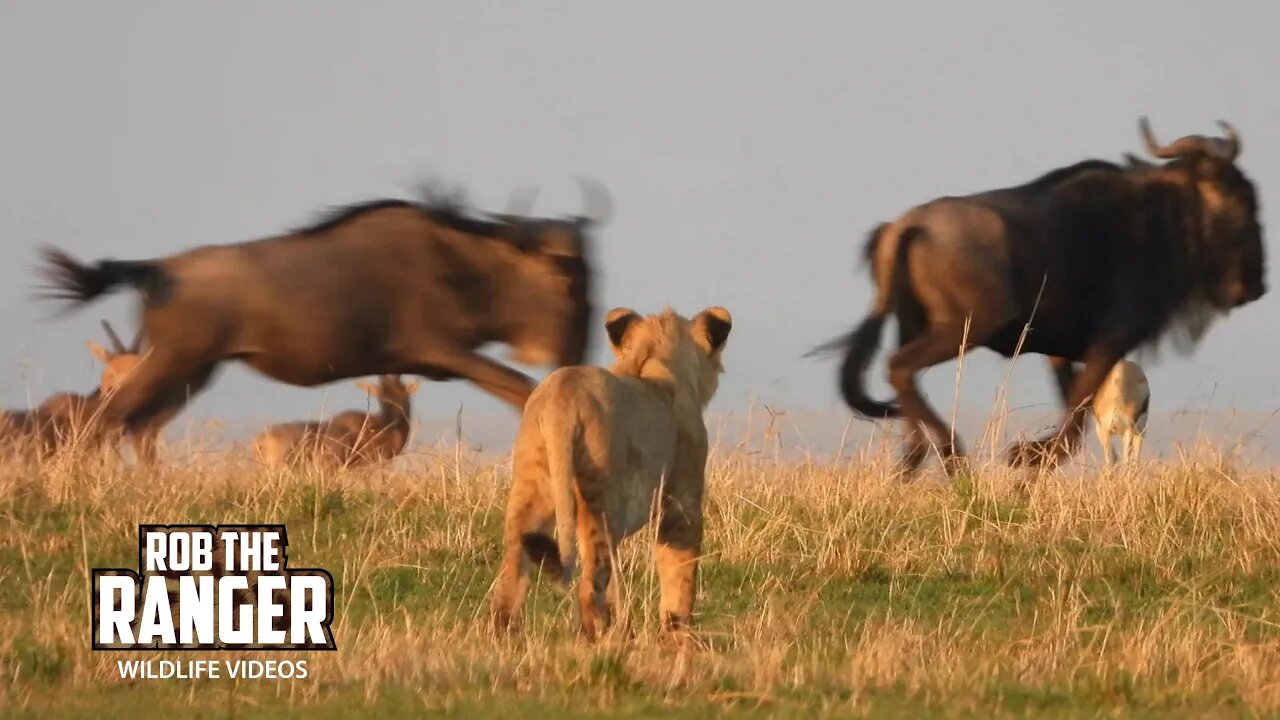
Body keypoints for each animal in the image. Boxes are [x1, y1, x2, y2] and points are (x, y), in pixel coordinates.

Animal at [488, 302, 732, 638]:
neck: (656, 356)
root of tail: (562, 397)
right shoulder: (682, 500)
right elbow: (680, 569)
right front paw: (678, 631)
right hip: (601, 497)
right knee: (590, 583)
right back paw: (602, 635)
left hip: (531, 483)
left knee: (512, 571)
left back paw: (506, 635)